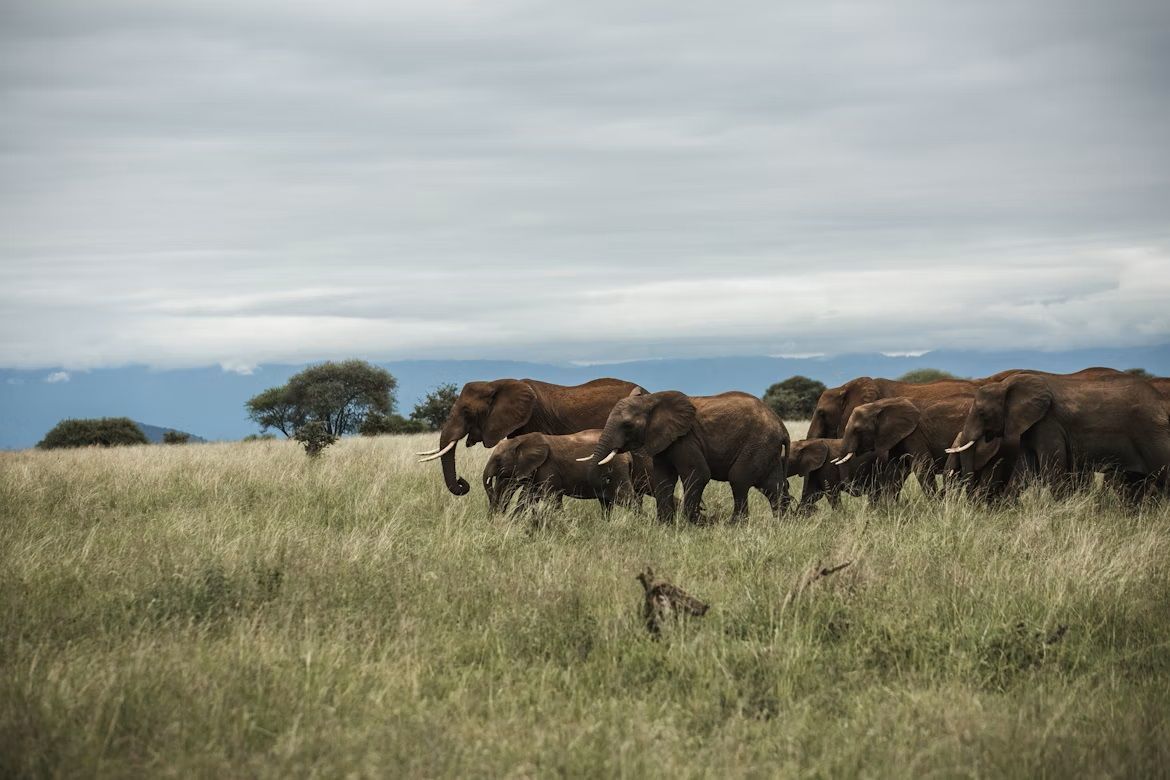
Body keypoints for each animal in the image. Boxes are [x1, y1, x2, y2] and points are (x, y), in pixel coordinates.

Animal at [481, 430, 648, 516]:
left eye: (498, 460)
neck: (521, 439)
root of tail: (628, 455)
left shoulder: (548, 466)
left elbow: (551, 496)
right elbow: (528, 497)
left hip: (617, 470)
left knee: (626, 499)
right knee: (606, 503)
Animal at [584, 389, 791, 523]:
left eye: (627, 425)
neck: (651, 400)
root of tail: (782, 427)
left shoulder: (685, 438)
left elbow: (698, 474)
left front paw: (690, 524)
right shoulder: (664, 441)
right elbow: (663, 478)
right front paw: (664, 524)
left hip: (758, 443)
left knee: (739, 479)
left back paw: (735, 524)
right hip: (766, 448)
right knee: (772, 485)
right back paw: (782, 523)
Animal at [948, 372, 1170, 500]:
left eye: (982, 413)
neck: (1005, 385)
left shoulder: (1049, 423)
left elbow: (1052, 469)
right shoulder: (1032, 426)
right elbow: (1025, 469)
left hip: (1153, 434)